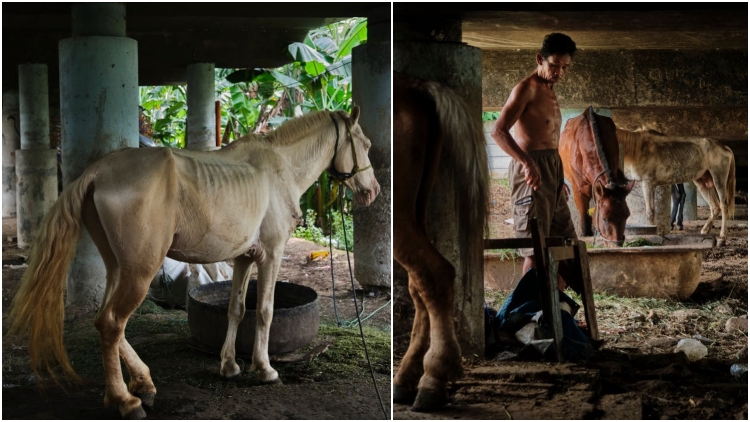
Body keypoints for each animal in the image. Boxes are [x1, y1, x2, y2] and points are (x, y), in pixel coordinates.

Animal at [7, 108, 382, 418]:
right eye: (365, 143)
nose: (373, 191)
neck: (280, 168)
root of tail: (98, 172)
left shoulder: (244, 258)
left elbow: (236, 309)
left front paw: (229, 366)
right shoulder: (272, 254)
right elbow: (264, 311)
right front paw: (264, 369)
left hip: (119, 268)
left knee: (104, 320)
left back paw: (144, 383)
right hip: (140, 272)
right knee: (112, 323)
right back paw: (125, 400)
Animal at [394, 71, 494, 410]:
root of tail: (414, 88)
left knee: (433, 273)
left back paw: (433, 379)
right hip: (416, 205)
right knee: (420, 283)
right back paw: (406, 379)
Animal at [560, 107, 636, 247]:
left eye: (627, 216)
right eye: (605, 218)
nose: (616, 245)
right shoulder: (579, 188)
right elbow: (583, 210)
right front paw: (586, 232)